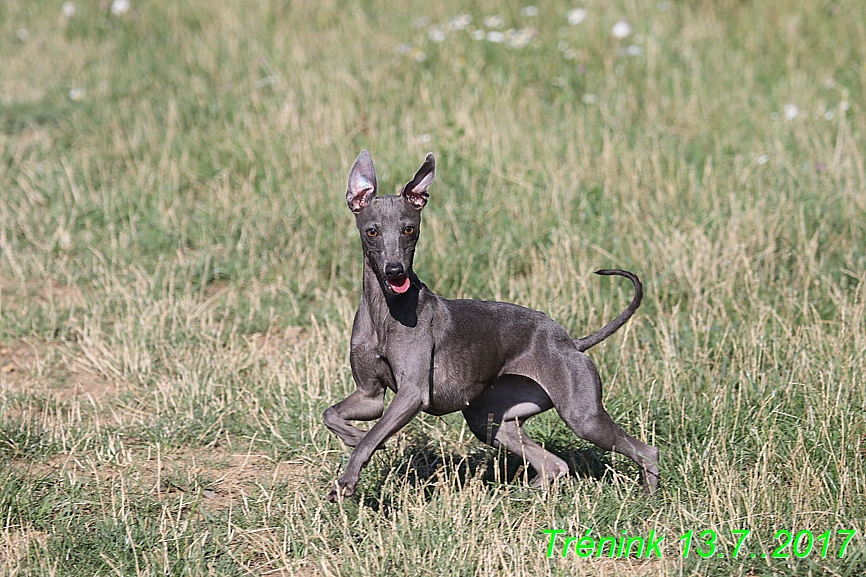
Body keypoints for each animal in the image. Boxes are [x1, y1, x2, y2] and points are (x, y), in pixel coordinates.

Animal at [320, 151, 660, 502]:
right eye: (372, 231)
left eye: (409, 229)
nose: (394, 271)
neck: (385, 310)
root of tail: (571, 342)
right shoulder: (370, 396)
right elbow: (332, 415)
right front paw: (352, 435)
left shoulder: (411, 394)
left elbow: (371, 436)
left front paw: (348, 476)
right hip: (490, 419)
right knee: (554, 464)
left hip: (583, 416)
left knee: (646, 451)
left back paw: (648, 496)